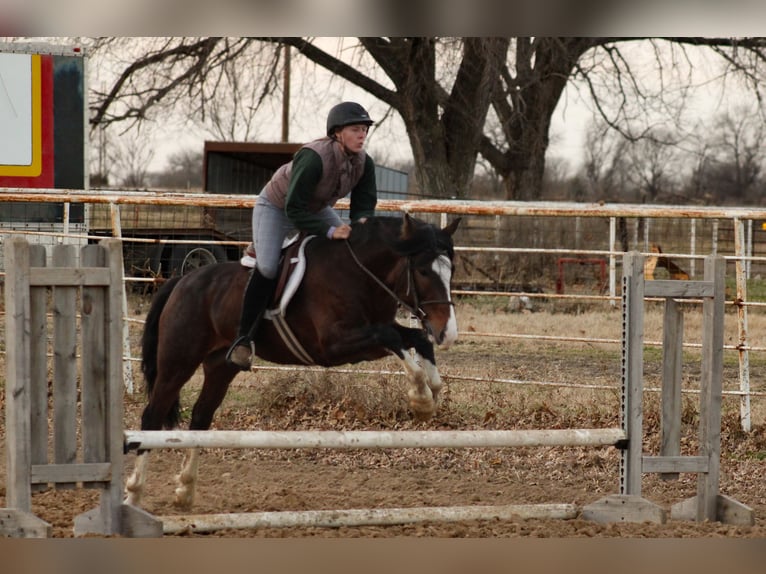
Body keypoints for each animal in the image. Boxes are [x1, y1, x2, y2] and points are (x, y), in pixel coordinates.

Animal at [124, 213, 461, 508]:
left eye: (451, 271)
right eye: (423, 271)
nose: (447, 332)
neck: (361, 274)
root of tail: (181, 282)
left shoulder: (367, 342)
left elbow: (414, 339)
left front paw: (432, 393)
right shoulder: (336, 345)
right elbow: (392, 338)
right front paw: (420, 397)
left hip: (221, 366)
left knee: (200, 418)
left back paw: (185, 491)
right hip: (178, 362)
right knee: (152, 417)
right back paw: (134, 494)